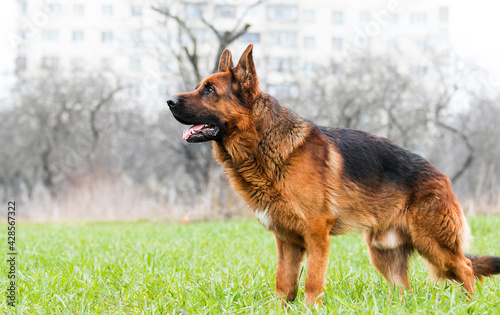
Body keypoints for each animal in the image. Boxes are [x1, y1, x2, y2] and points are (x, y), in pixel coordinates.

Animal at [168, 44, 500, 306]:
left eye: (209, 90)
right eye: (199, 86)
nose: (169, 102)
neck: (262, 142)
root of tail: (441, 175)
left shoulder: (316, 233)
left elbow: (312, 283)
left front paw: (310, 308)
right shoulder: (286, 241)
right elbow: (283, 284)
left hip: (433, 243)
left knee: (466, 267)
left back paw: (471, 304)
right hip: (383, 252)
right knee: (404, 289)